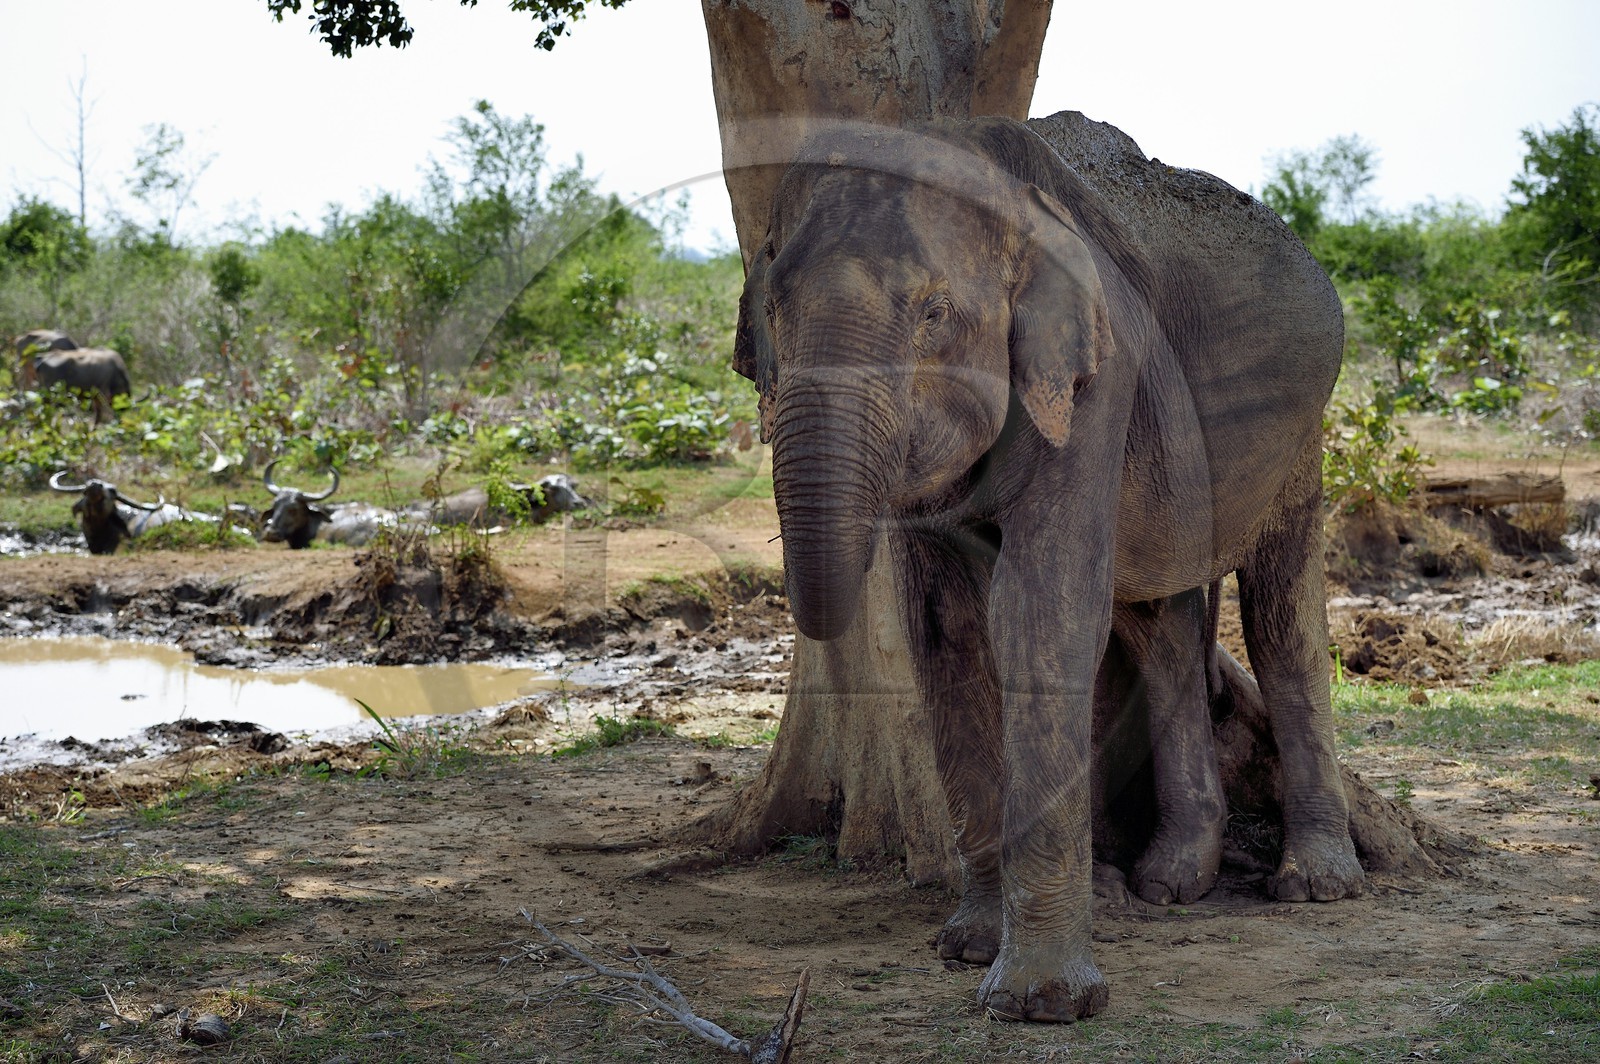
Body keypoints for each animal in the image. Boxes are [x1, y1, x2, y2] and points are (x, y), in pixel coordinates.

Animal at [734, 111, 1363, 1021]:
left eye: (935, 312)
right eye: (773, 310)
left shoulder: (1095, 377)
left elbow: (1037, 611)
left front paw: (1041, 1004)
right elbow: (946, 630)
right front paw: (966, 947)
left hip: (1300, 428)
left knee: (1281, 609)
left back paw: (1315, 886)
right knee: (1161, 620)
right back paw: (1174, 881)